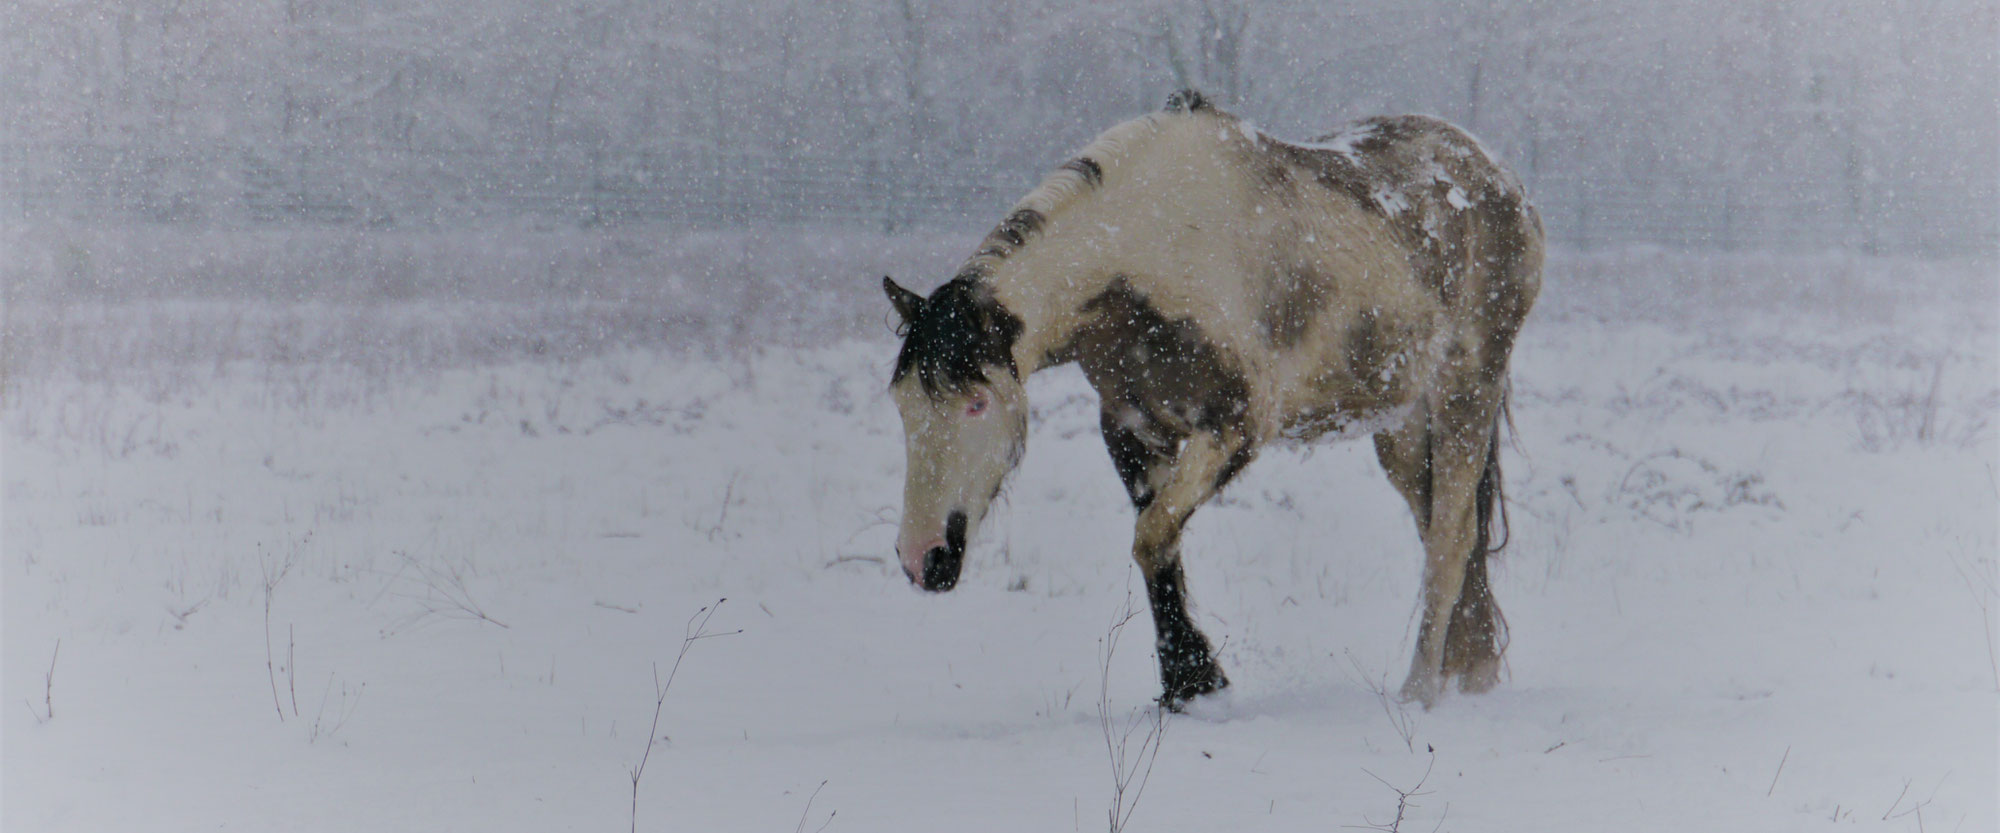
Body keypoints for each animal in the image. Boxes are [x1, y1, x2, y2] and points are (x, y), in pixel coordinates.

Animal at [880, 91, 1544, 708]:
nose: (920, 559)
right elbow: (1161, 549)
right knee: (1440, 529)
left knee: (1451, 539)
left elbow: (1150, 537)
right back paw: (1468, 673)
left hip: (1466, 393)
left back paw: (1419, 692)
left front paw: (1196, 682)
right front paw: (1191, 688)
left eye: (976, 404)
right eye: (903, 407)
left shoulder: (1234, 430)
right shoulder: (1131, 430)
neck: (1150, 250)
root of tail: (1500, 178)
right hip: (1402, 427)